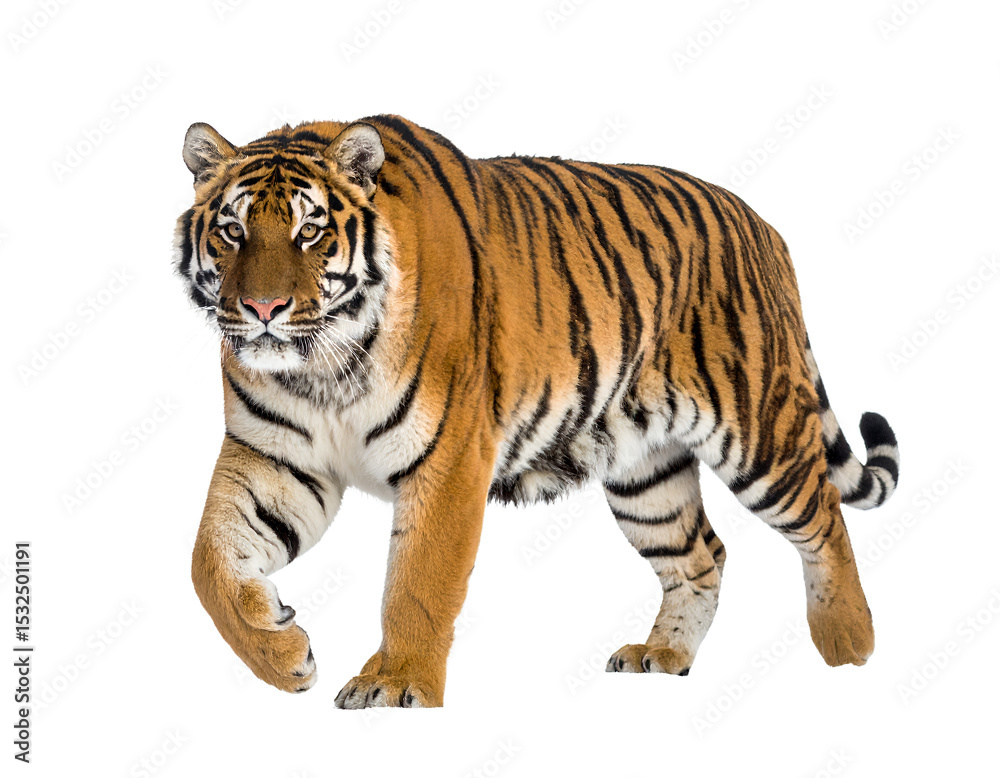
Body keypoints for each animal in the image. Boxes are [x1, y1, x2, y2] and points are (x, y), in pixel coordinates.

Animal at [175, 114, 900, 708]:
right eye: (233, 231)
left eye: (310, 232)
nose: (262, 310)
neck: (321, 372)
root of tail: (763, 225)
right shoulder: (274, 459)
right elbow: (209, 564)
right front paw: (282, 654)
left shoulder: (449, 460)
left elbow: (417, 582)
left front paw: (396, 685)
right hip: (646, 473)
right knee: (702, 553)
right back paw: (664, 655)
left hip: (757, 431)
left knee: (823, 517)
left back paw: (850, 645)